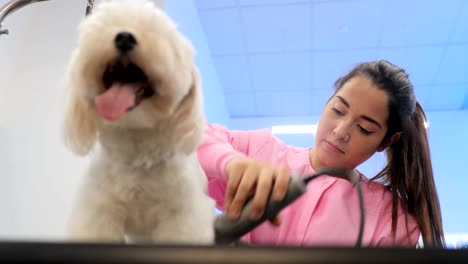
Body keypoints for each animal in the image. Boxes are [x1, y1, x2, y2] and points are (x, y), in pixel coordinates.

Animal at [63, 0, 215, 244]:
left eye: (159, 33)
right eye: (108, 23)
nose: (124, 37)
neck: (136, 151)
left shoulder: (182, 217)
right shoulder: (99, 211)